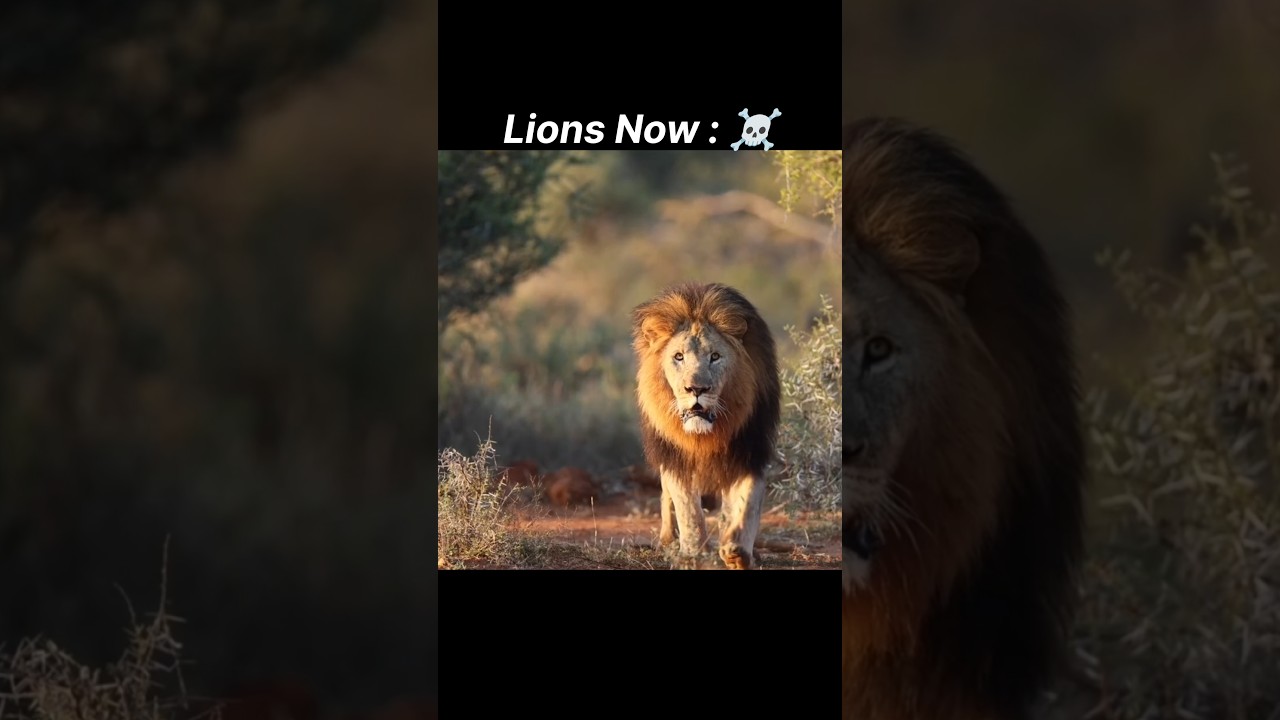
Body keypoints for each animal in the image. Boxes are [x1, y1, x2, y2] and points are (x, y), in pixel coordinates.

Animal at [630, 282, 781, 570]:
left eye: (715, 357)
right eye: (678, 357)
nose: (696, 389)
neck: (706, 434)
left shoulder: (750, 449)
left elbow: (748, 502)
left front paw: (737, 551)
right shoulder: (676, 458)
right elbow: (688, 509)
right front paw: (692, 554)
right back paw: (668, 540)